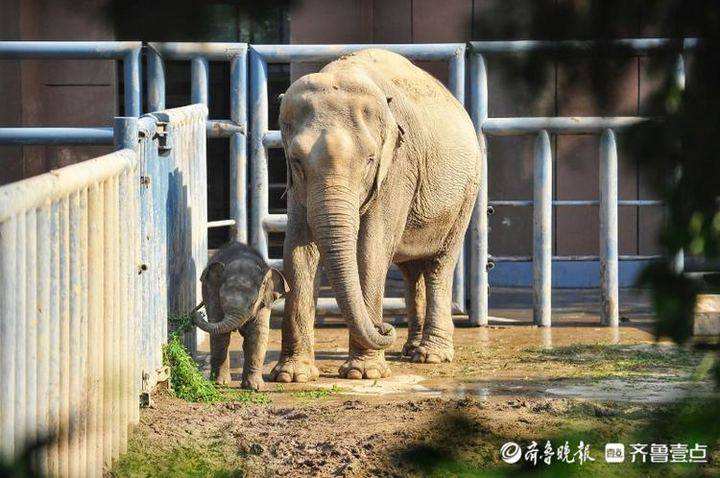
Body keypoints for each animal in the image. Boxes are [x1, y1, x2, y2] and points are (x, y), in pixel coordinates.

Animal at [195, 241, 292, 390]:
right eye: (223, 301)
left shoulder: (264, 301)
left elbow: (257, 333)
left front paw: (255, 387)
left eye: (252, 304)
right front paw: (219, 384)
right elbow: (220, 334)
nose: (197, 313)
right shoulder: (212, 294)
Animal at [270, 49, 484, 384]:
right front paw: (292, 375)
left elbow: (371, 248)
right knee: (411, 270)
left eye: (370, 160)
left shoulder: (398, 166)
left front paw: (362, 373)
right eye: (296, 160)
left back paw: (430, 356)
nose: (385, 328)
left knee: (439, 264)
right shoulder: (297, 184)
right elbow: (298, 249)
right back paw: (410, 349)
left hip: (467, 192)